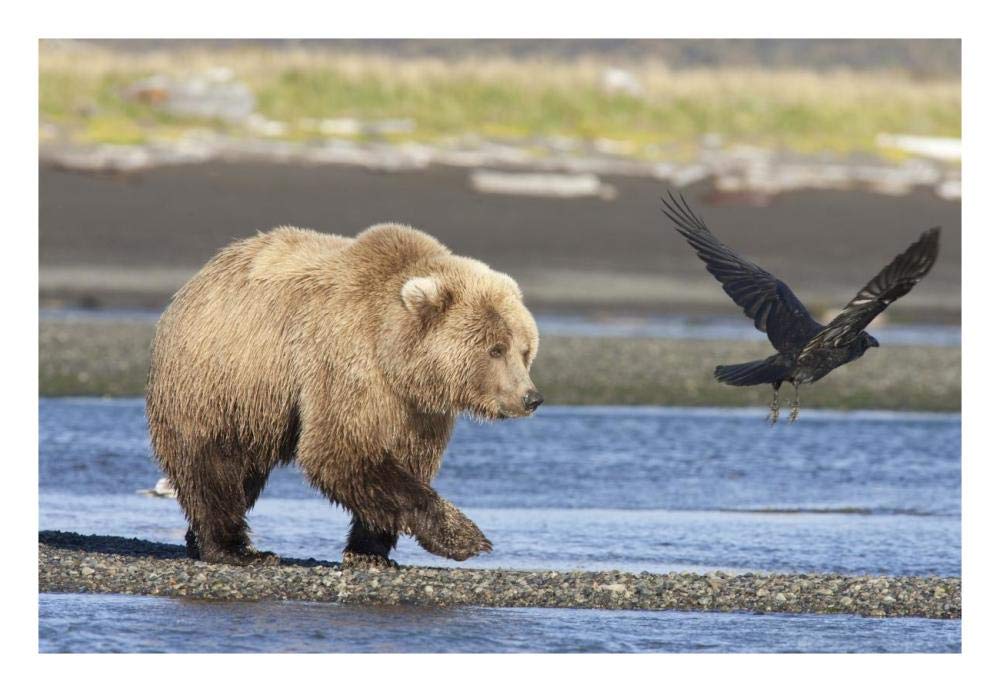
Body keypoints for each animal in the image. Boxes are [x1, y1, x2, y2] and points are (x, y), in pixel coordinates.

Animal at [146, 223, 542, 567]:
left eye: (525, 350)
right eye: (495, 349)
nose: (531, 398)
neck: (395, 358)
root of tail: (197, 279)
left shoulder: (415, 410)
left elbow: (404, 460)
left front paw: (370, 551)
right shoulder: (345, 367)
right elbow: (339, 453)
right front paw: (465, 537)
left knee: (244, 472)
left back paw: (199, 539)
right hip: (223, 379)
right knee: (215, 462)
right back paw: (233, 548)